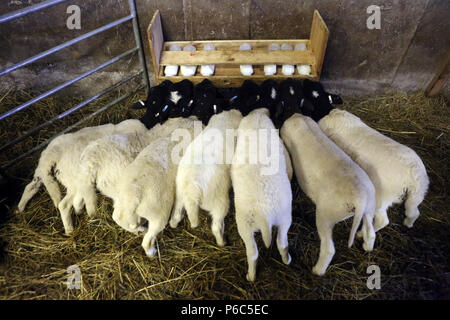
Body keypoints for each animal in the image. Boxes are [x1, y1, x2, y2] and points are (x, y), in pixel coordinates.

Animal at [169, 109, 244, 246]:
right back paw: (222, 242)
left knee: (175, 215)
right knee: (216, 227)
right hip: (220, 203)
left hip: (179, 195)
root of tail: (192, 193)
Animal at [232, 109, 292, 282]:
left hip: (244, 225)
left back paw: (250, 276)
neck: (257, 121)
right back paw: (287, 260)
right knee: (282, 244)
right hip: (285, 218)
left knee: (252, 254)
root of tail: (265, 215)